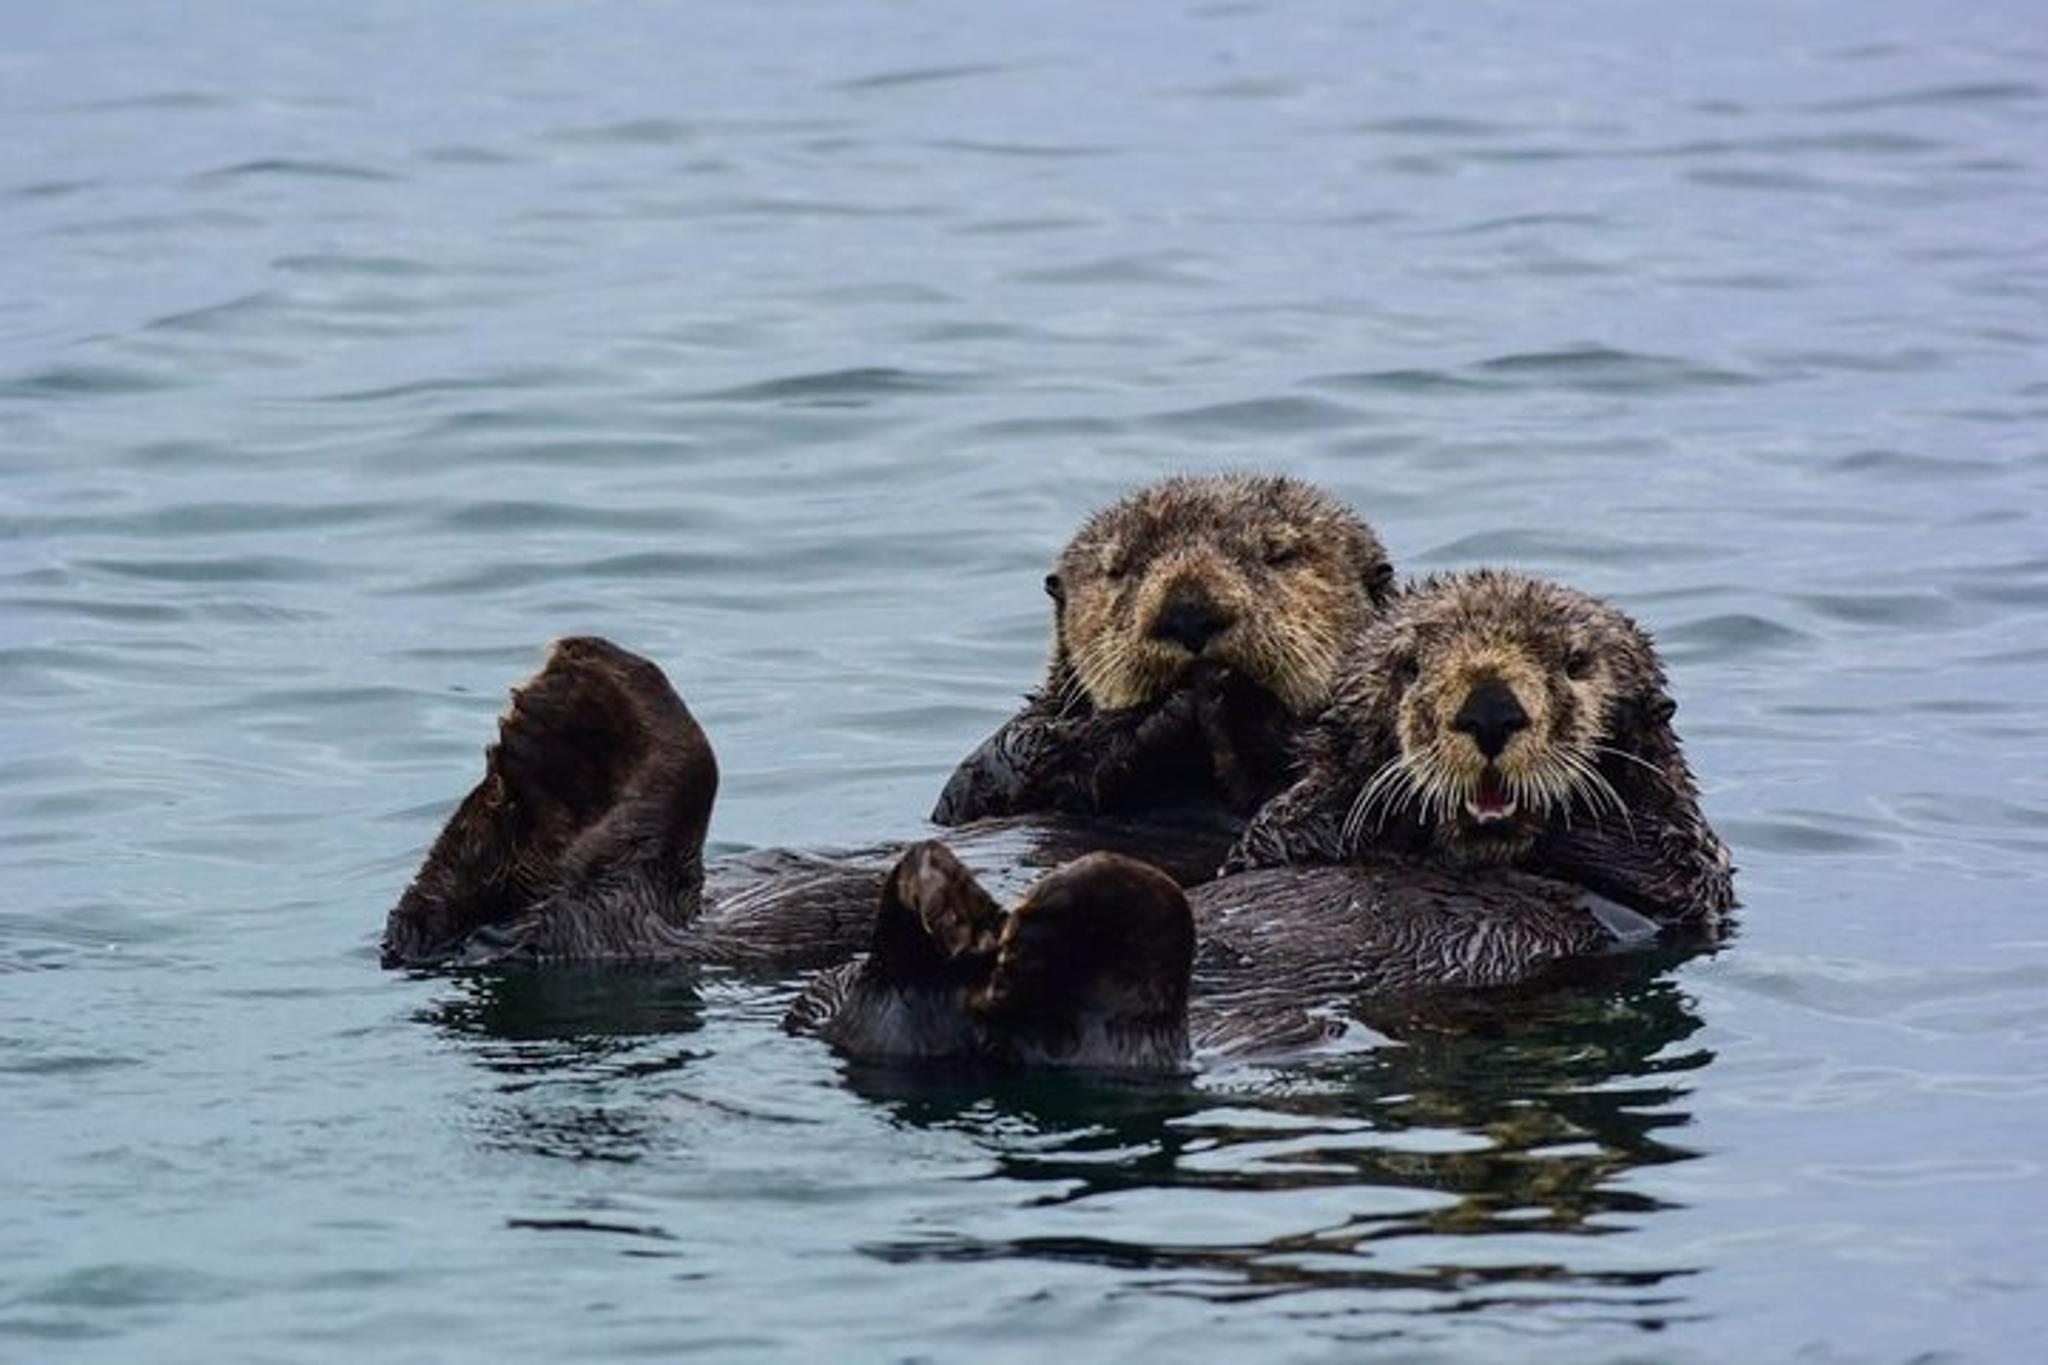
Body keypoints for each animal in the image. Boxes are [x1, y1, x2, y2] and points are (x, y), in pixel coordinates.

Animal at [793, 570, 1731, 1069]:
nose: (1492, 707)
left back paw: (1046, 913)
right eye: (1410, 662)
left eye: (1574, 663)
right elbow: (1285, 832)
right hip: (829, 996)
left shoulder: (1683, 880)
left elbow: (1654, 859)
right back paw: (944, 903)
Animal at [930, 473, 1394, 825]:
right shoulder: (1000, 763)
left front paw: (1237, 701)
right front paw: (1169, 710)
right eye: (1117, 568)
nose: (1188, 613)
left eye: (1279, 554)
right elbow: (999, 768)